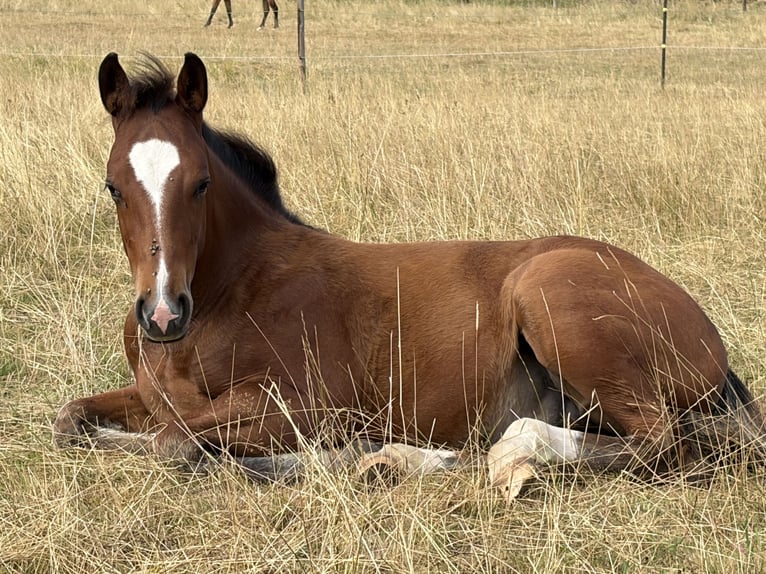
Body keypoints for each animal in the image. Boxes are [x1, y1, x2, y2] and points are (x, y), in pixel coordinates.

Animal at [53, 52, 764, 500]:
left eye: (200, 183)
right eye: (113, 187)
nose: (162, 314)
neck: (231, 293)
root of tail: (709, 337)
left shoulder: (312, 406)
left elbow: (175, 444)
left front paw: (337, 457)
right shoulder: (151, 396)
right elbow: (72, 422)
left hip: (548, 298)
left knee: (659, 445)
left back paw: (496, 456)